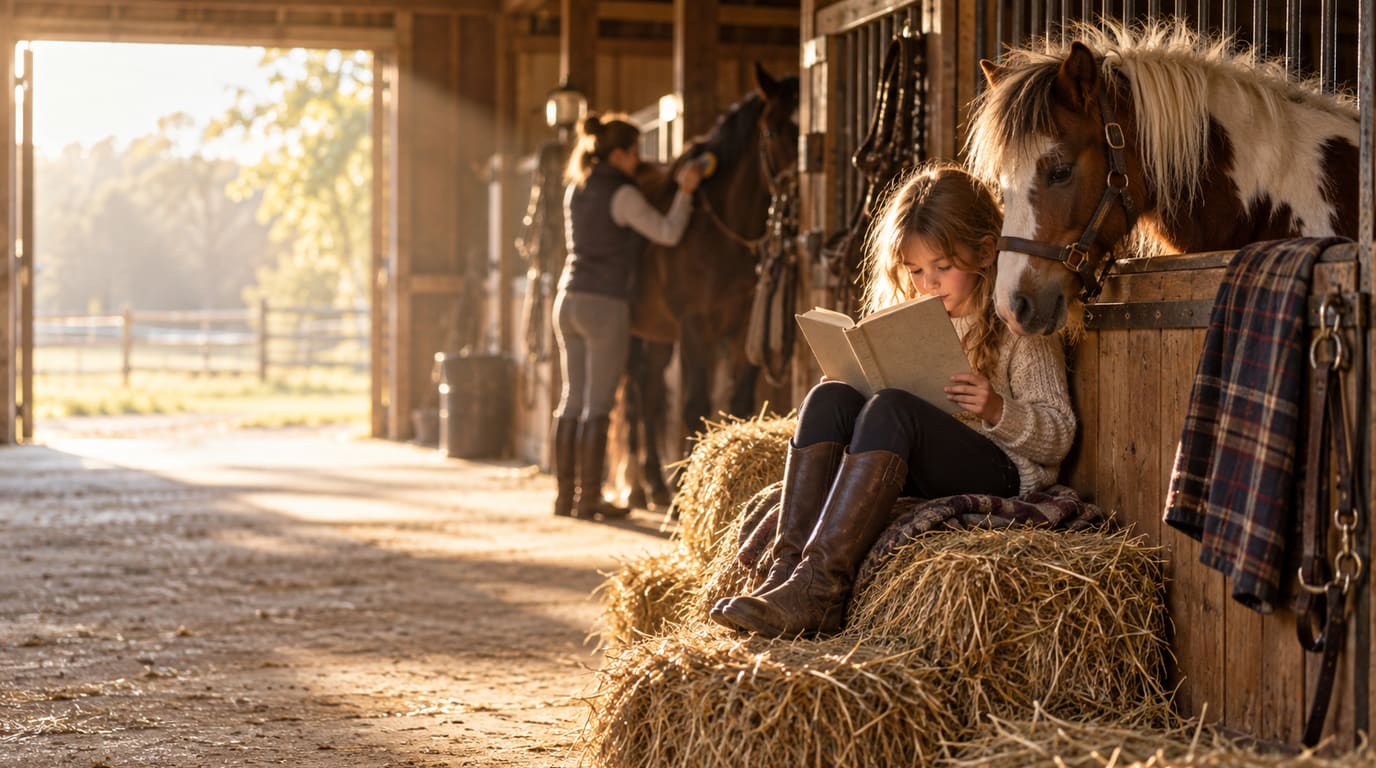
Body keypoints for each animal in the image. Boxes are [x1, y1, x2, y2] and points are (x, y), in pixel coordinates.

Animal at [621, 64, 800, 507]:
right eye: (771, 130)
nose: (793, 205)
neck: (722, 235)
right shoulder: (694, 327)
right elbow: (695, 403)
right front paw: (686, 488)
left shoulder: (745, 330)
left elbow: (738, 401)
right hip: (631, 333)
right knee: (633, 396)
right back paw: (635, 486)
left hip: (658, 334)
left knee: (650, 393)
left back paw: (654, 483)